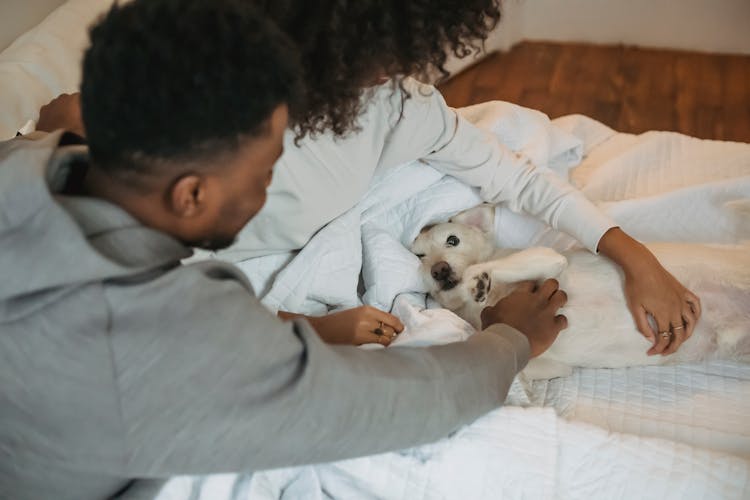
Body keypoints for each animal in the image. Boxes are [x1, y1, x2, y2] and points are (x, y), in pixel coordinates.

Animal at [412, 203, 750, 378]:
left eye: (452, 240)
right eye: (418, 256)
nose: (438, 270)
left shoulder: (548, 259)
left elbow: (486, 269)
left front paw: (478, 281)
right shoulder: (550, 366)